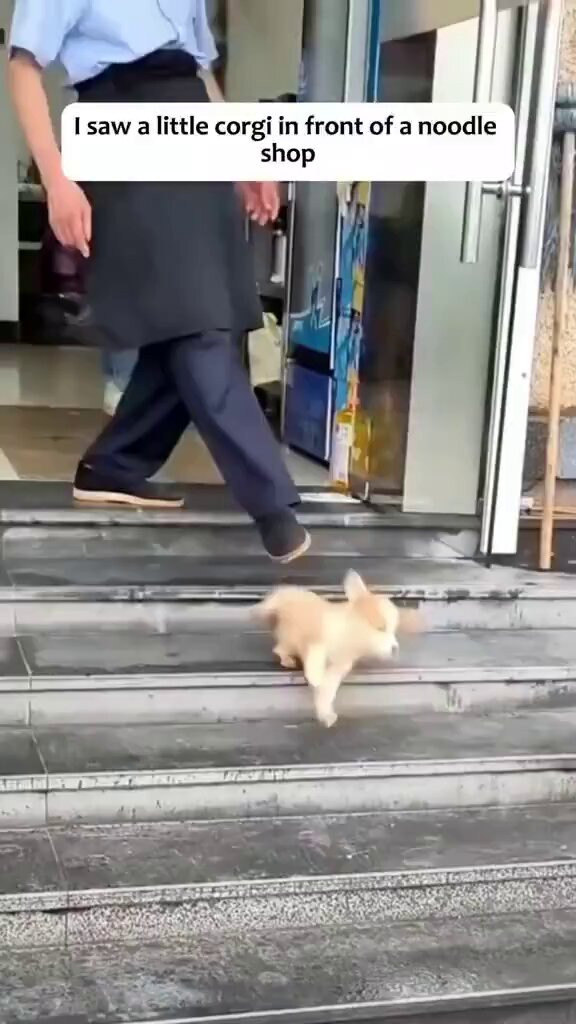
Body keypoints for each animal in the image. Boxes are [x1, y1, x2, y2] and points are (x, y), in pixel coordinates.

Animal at [257, 570, 402, 728]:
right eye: (381, 628)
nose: (395, 648)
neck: (350, 635)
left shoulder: (337, 668)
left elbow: (328, 692)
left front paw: (326, 714)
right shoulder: (317, 641)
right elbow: (316, 658)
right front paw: (315, 678)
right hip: (290, 639)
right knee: (279, 649)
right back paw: (288, 660)